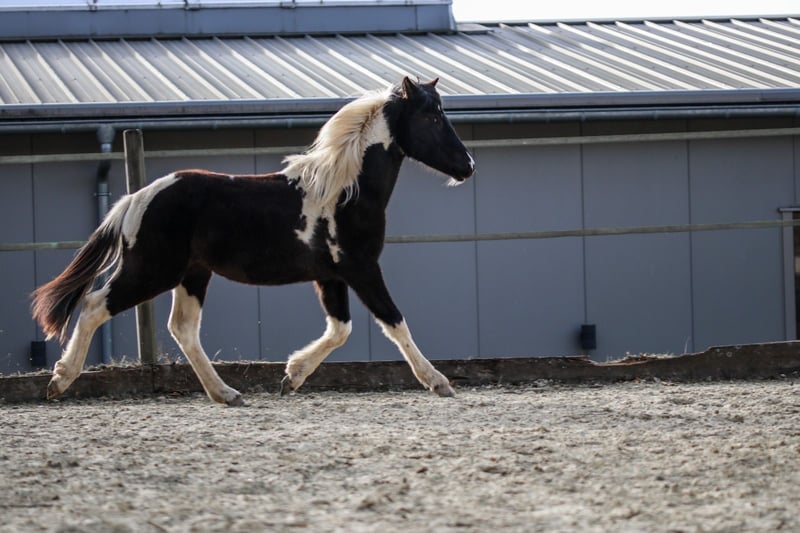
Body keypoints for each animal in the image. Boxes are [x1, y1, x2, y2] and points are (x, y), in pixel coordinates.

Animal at [31, 77, 475, 406]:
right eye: (432, 116)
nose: (468, 166)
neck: (345, 192)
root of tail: (135, 199)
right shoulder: (361, 268)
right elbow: (394, 322)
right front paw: (438, 382)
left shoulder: (330, 276)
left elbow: (340, 330)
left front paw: (291, 376)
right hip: (152, 271)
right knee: (94, 304)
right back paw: (59, 381)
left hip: (192, 275)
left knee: (183, 328)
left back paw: (227, 393)